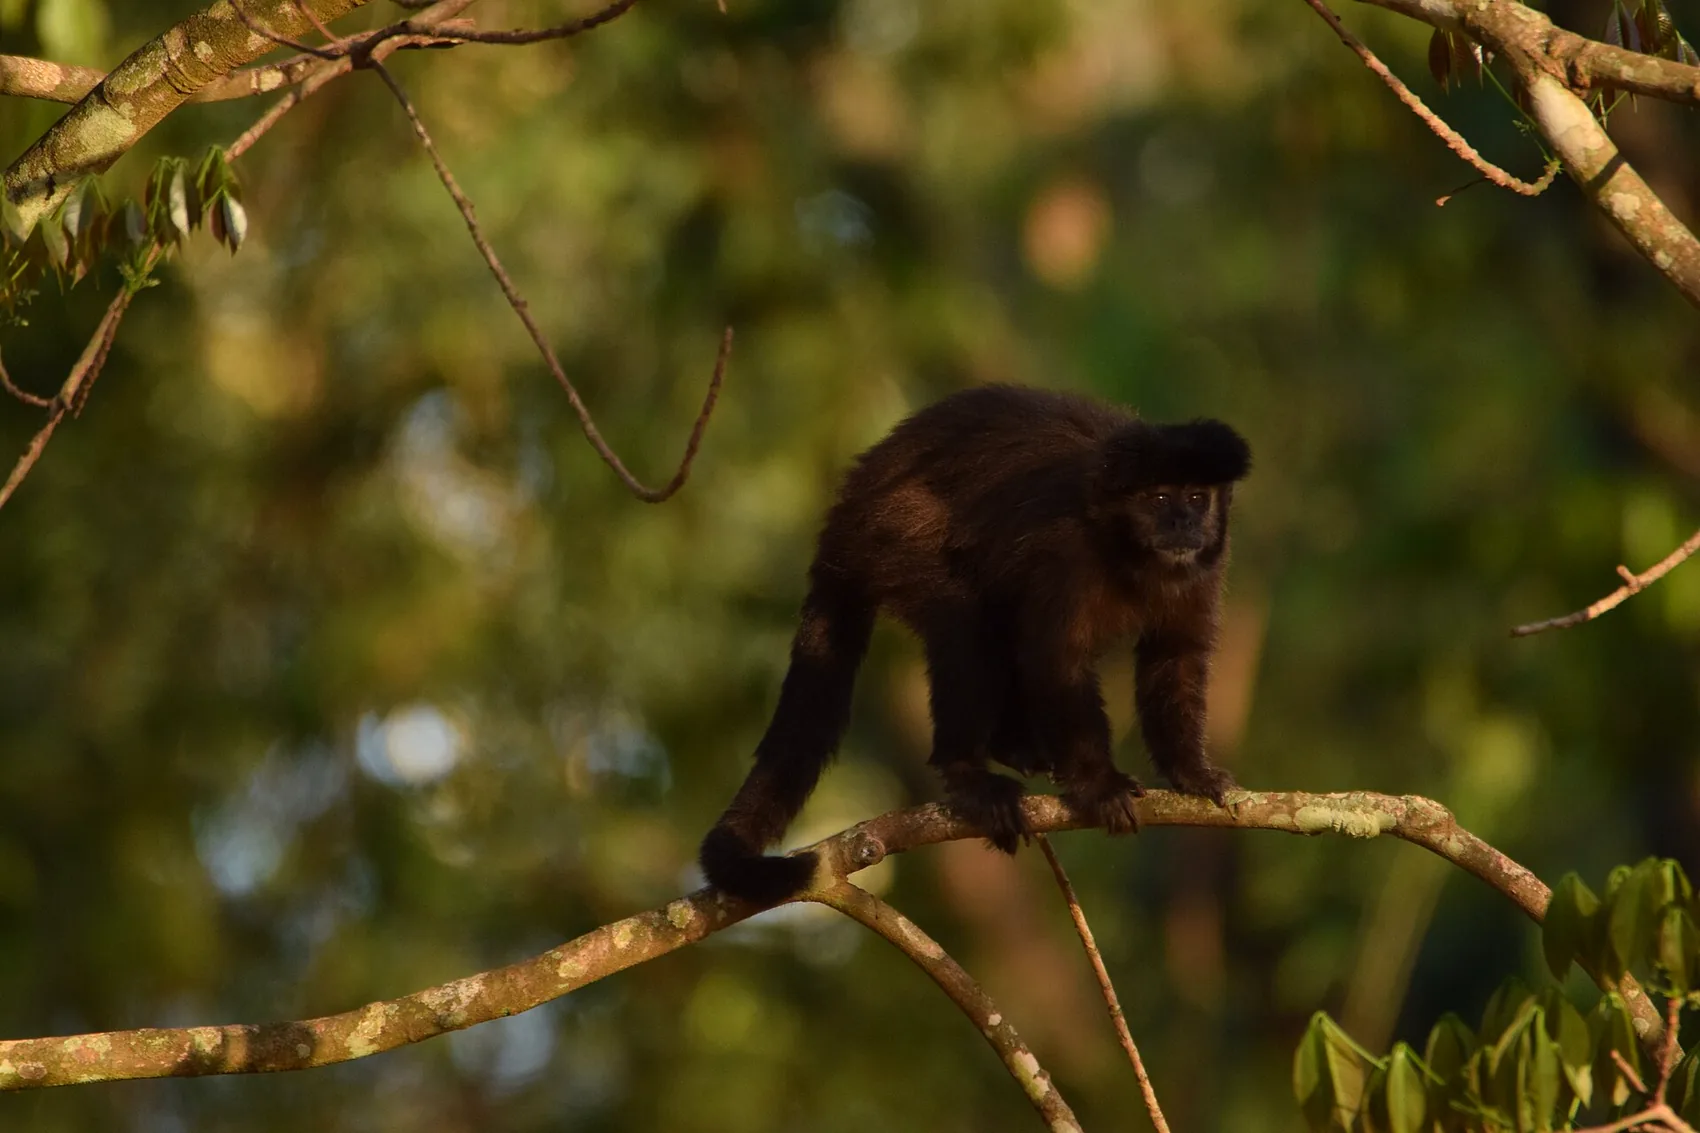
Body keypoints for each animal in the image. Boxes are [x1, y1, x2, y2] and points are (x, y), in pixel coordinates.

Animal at [699, 384, 1251, 904]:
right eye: (1159, 499)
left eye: (1197, 498)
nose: (1184, 522)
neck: (1127, 548)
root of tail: (849, 503)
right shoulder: (1069, 551)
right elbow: (1057, 661)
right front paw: (1099, 784)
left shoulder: (1208, 564)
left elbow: (1176, 658)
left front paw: (1192, 772)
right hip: (893, 530)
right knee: (963, 621)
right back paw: (967, 774)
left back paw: (1011, 745)